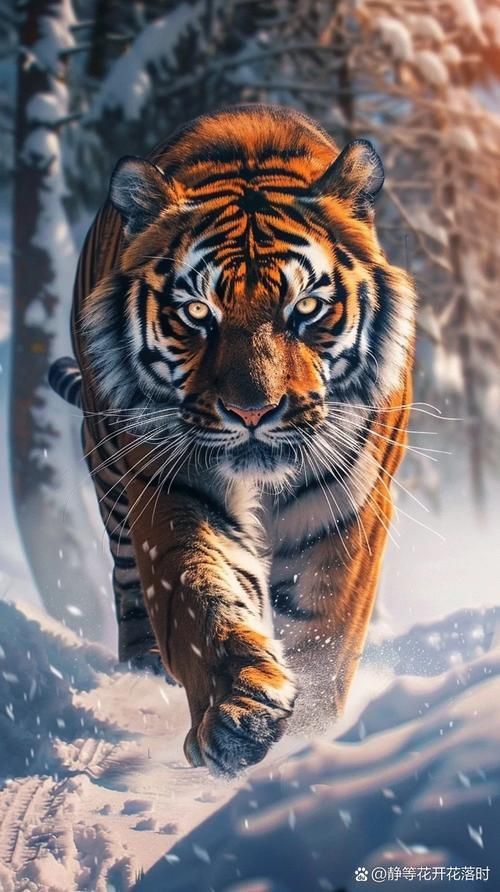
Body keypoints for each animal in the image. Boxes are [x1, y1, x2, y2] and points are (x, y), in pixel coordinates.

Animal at [49, 104, 416, 776]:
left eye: (307, 308)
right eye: (197, 313)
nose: (253, 410)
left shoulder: (348, 500)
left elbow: (325, 631)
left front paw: (310, 741)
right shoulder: (171, 485)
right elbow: (201, 594)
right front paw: (238, 715)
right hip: (110, 470)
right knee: (128, 585)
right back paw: (143, 671)